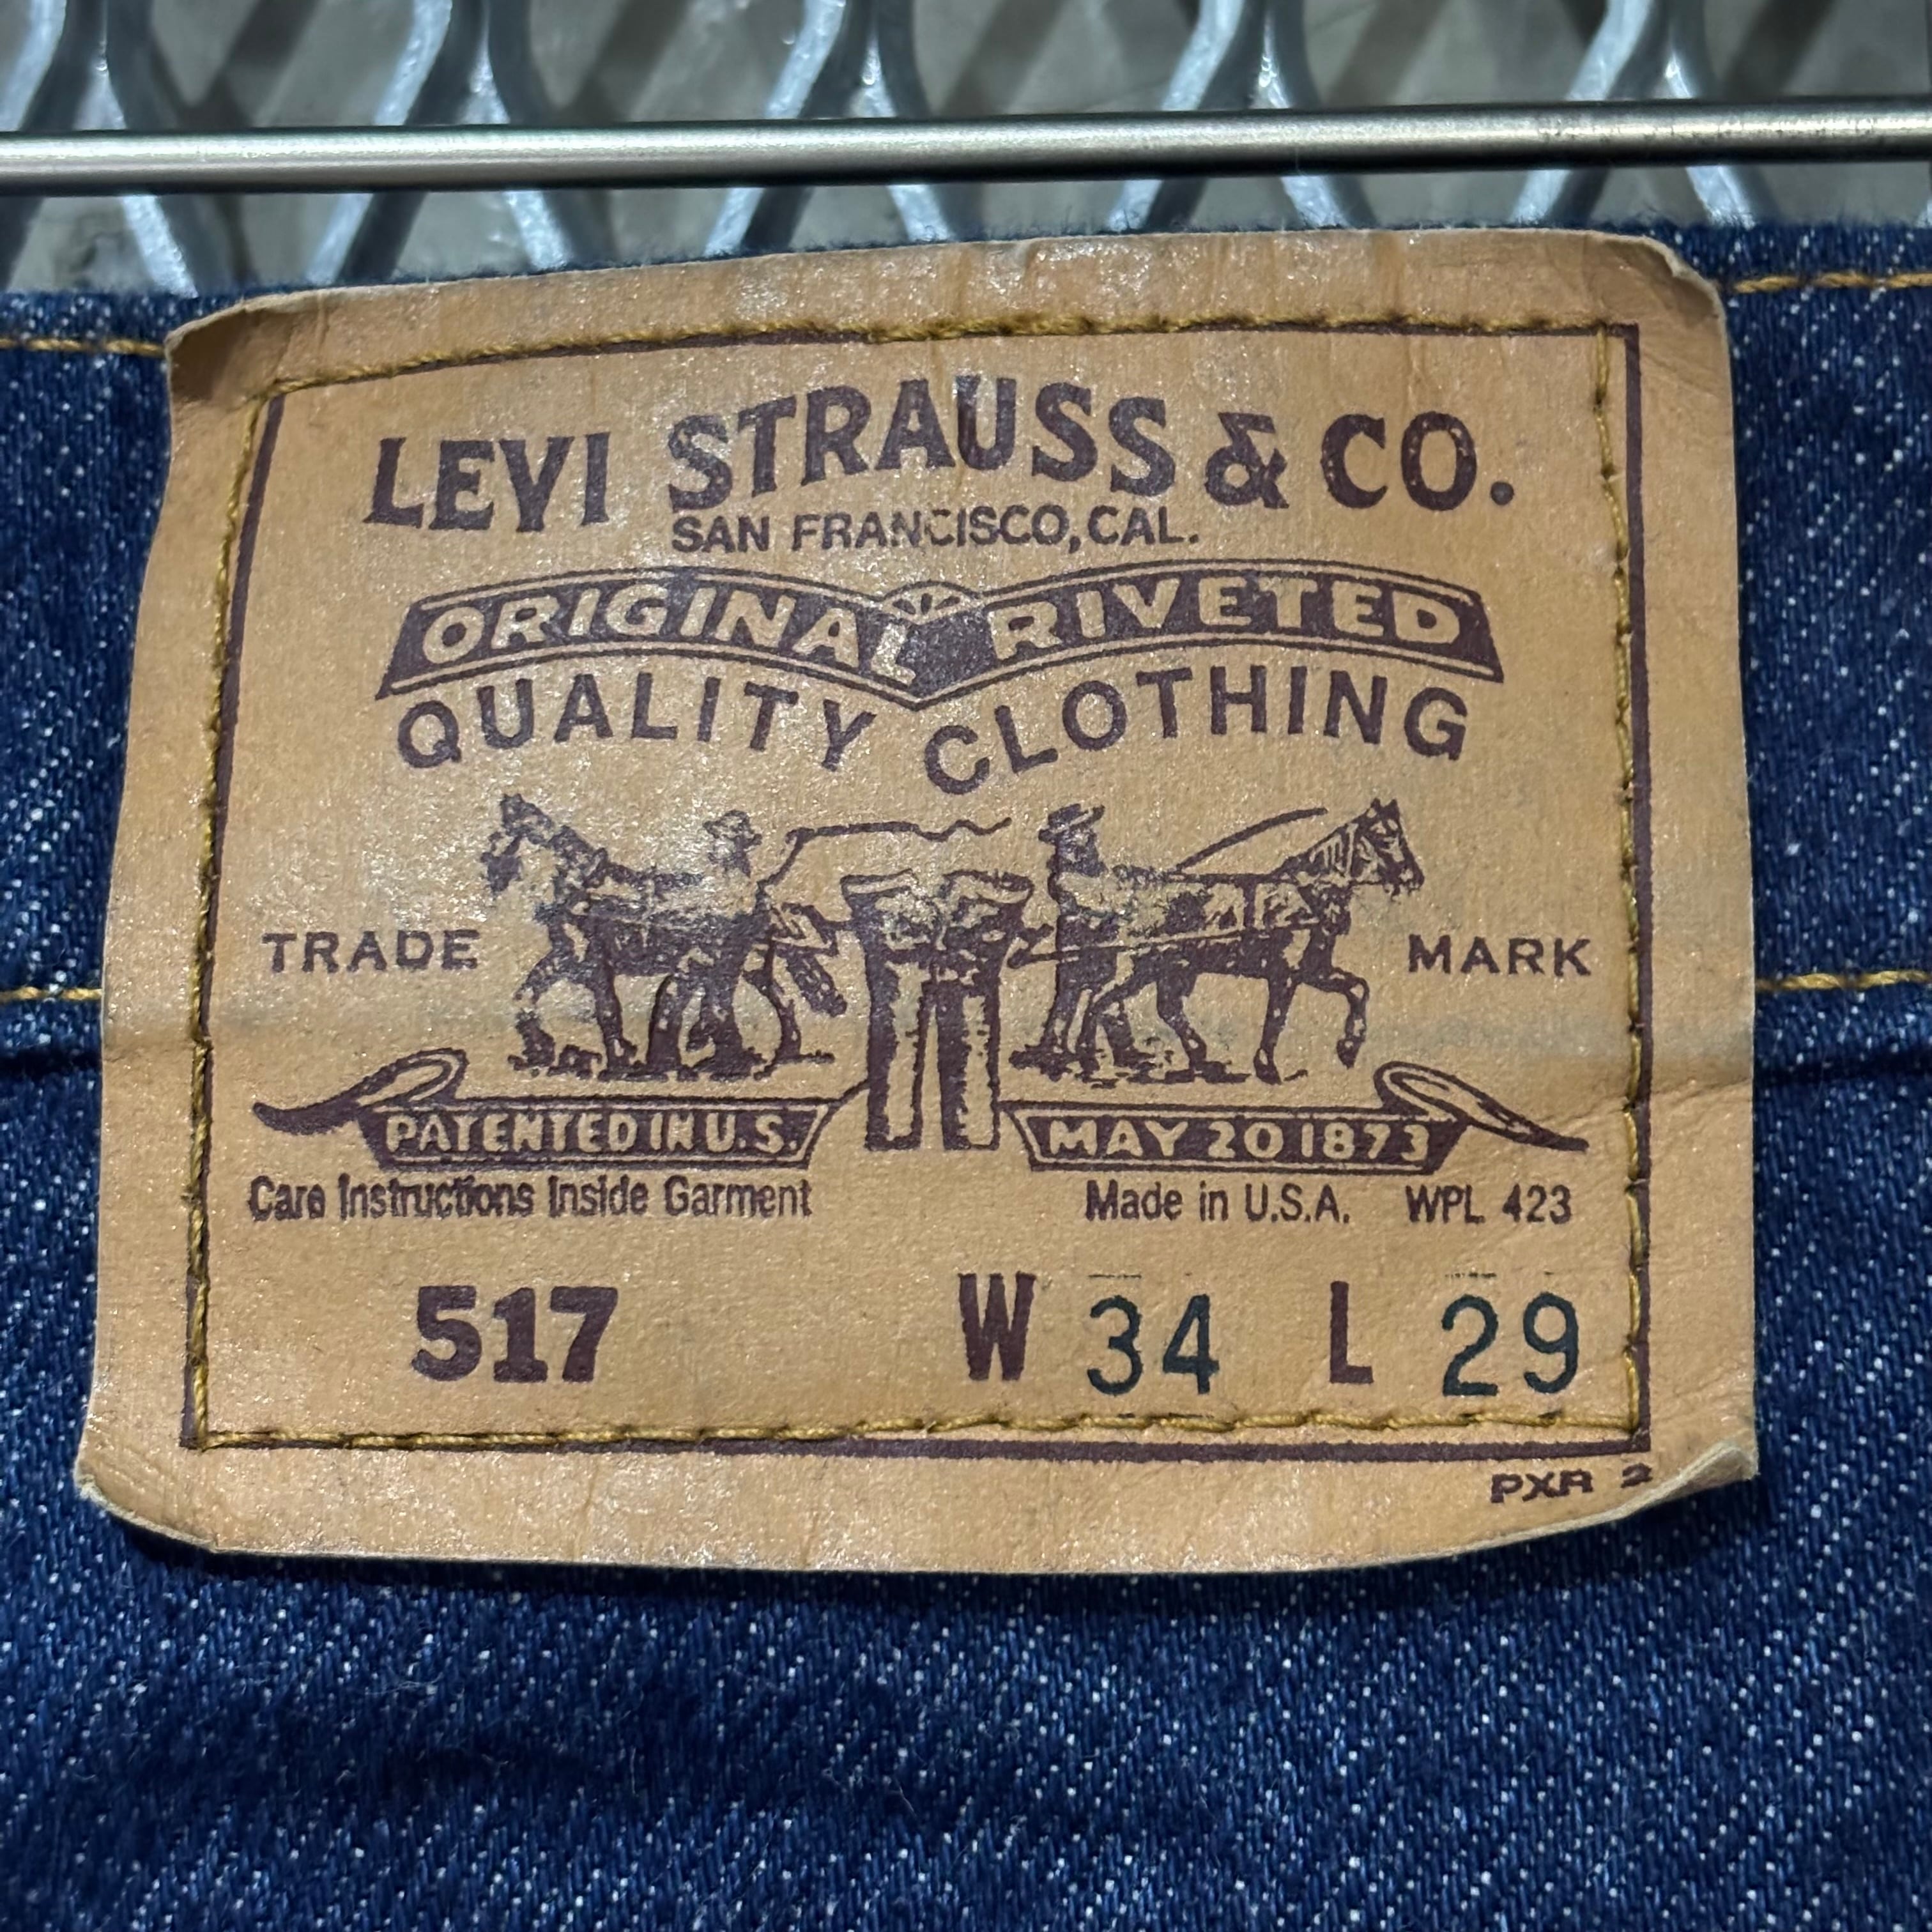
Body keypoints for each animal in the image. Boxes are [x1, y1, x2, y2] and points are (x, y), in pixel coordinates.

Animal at [1038, 799, 1424, 1085]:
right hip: (1141, 968)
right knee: (1100, 999)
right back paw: (1086, 1056)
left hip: (1169, 968)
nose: (1414, 877)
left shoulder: (1314, 969)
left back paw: (1195, 1055)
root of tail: (1132, 899)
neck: (1306, 896)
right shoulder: (1285, 974)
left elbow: (1358, 988)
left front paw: (1348, 1046)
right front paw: (1267, 1067)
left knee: (1161, 1007)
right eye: (1383, 837)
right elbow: (1276, 1018)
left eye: (1400, 833)